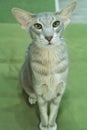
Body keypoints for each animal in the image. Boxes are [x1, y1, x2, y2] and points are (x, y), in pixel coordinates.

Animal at [12, 1, 76, 130]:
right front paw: (45, 125)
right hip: (23, 77)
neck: (50, 60)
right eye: (37, 26)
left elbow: (54, 111)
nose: (49, 37)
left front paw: (51, 124)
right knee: (29, 91)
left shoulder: (59, 91)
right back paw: (32, 97)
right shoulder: (39, 90)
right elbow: (43, 112)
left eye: (56, 23)